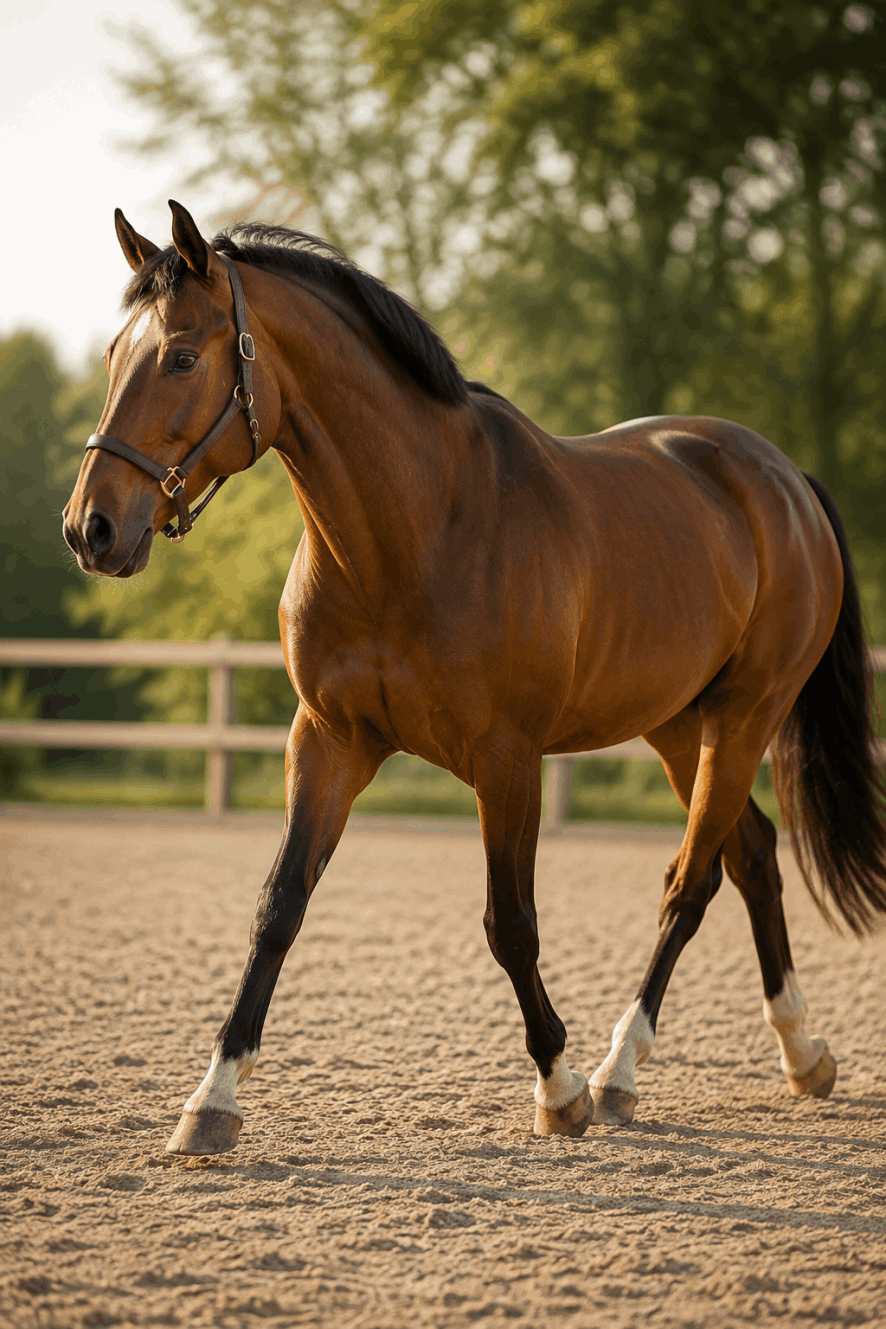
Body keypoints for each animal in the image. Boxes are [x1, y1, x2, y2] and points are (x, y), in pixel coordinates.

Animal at [64, 200, 886, 1156]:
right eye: (114, 354)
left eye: (183, 356)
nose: (91, 528)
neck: (417, 530)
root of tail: (783, 479)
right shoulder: (328, 743)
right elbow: (279, 909)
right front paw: (212, 1100)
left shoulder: (508, 761)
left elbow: (511, 924)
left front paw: (560, 1087)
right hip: (681, 722)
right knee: (748, 855)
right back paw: (801, 1053)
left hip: (746, 715)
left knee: (691, 882)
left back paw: (619, 1070)